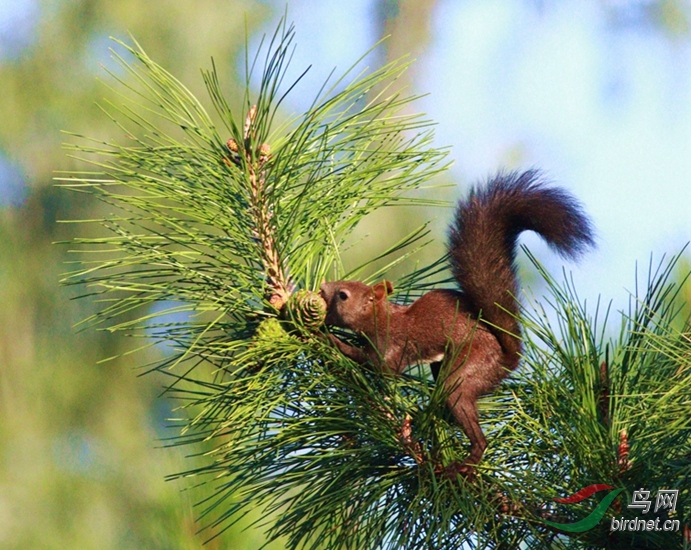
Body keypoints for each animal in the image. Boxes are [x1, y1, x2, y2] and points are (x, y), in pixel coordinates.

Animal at [318, 171, 596, 478]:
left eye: (343, 295)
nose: (321, 288)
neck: (384, 318)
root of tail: (506, 359)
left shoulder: (393, 347)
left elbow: (379, 368)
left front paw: (331, 341)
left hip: (465, 373)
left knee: (474, 428)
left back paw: (464, 463)